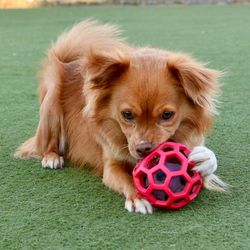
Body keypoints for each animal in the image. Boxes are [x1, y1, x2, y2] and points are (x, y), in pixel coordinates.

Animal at [15, 20, 227, 215]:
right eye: (127, 115)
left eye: (167, 115)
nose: (143, 149)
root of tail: (66, 62)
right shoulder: (111, 167)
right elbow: (126, 179)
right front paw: (138, 197)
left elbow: (208, 163)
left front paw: (205, 159)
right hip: (51, 101)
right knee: (45, 144)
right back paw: (51, 157)